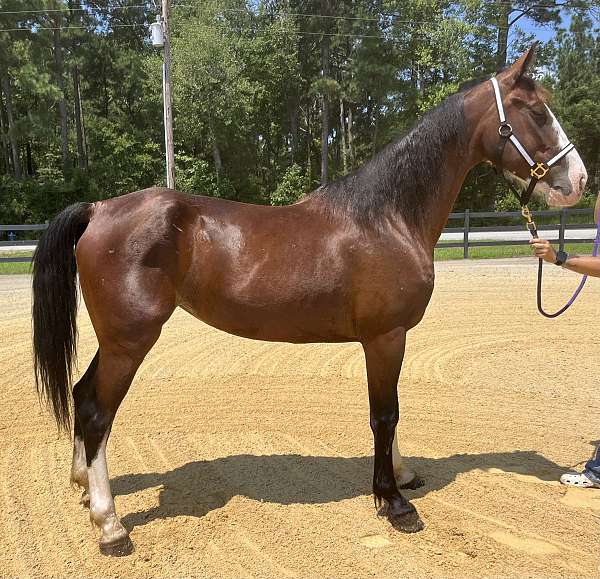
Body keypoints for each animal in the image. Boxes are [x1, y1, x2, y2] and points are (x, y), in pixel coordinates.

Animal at [32, 48, 584, 556]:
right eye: (536, 111)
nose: (576, 181)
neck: (388, 217)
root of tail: (99, 209)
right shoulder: (385, 337)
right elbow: (384, 415)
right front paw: (394, 504)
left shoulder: (388, 340)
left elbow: (393, 411)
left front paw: (403, 475)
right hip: (129, 341)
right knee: (98, 413)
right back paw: (110, 526)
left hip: (116, 340)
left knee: (82, 395)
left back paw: (84, 489)